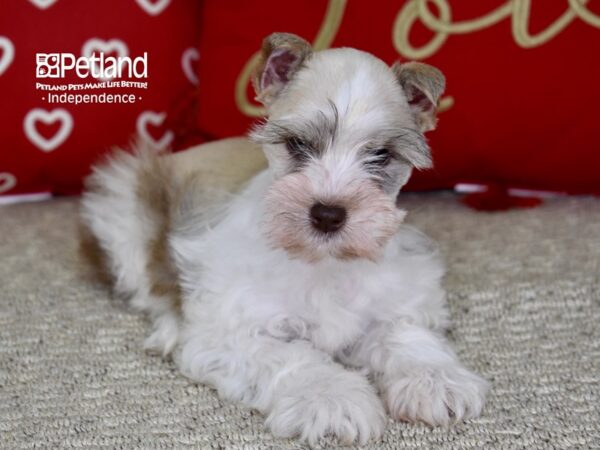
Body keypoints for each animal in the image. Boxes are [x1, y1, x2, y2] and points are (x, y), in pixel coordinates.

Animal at [81, 33, 488, 444]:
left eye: (380, 154)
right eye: (297, 145)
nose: (328, 214)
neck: (322, 263)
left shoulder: (395, 299)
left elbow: (405, 335)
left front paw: (433, 379)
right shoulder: (236, 335)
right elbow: (295, 358)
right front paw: (332, 397)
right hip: (126, 209)